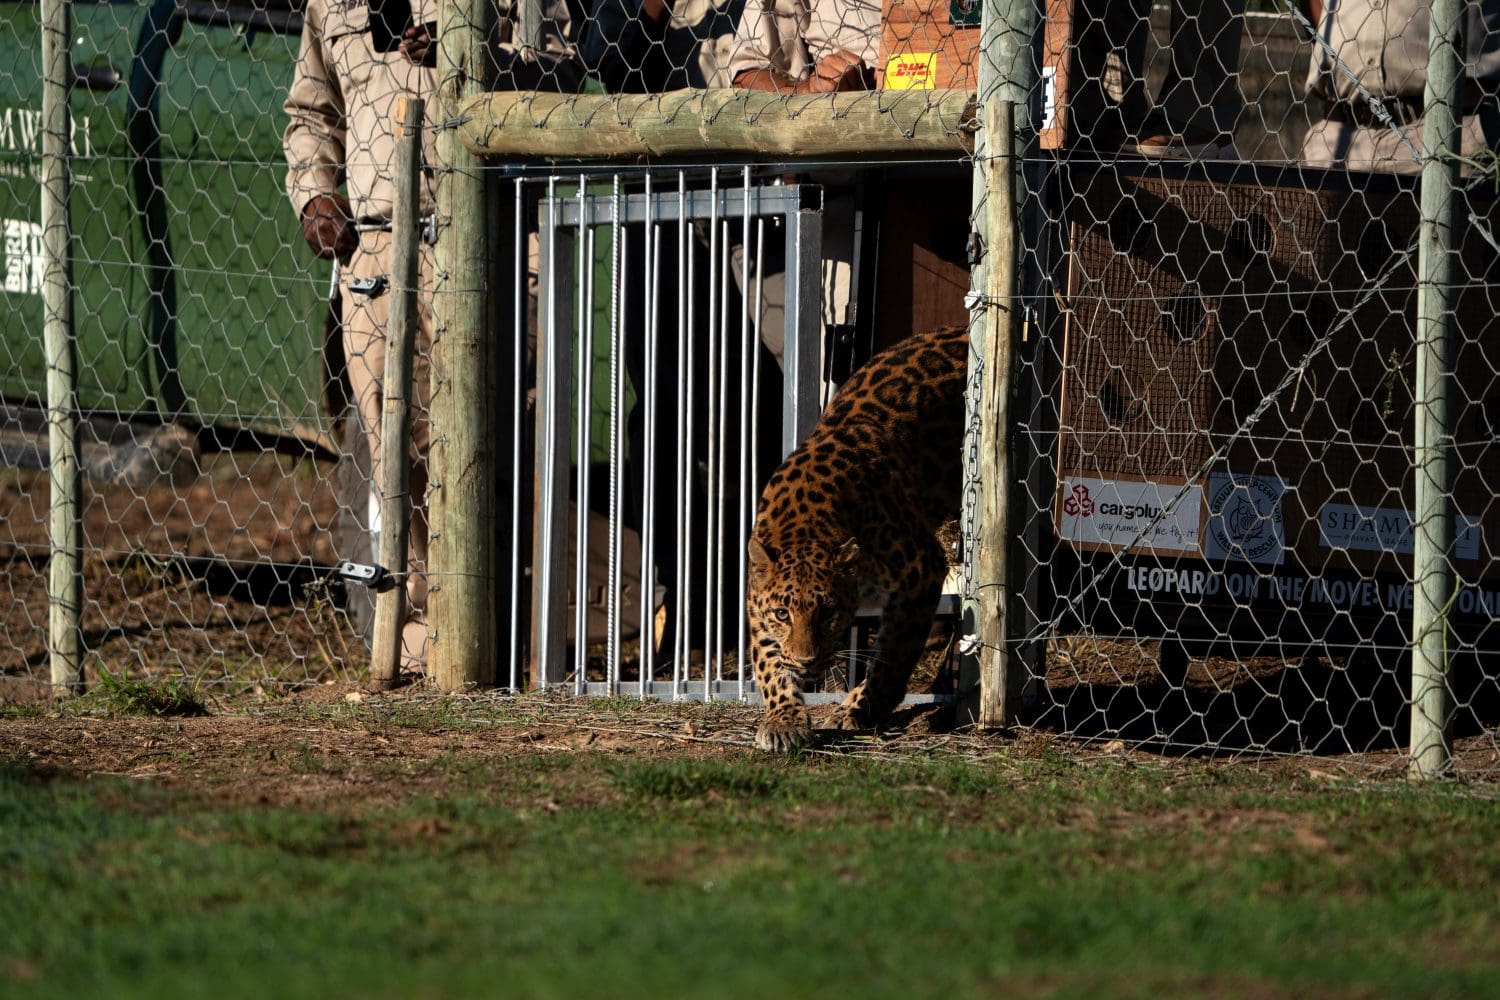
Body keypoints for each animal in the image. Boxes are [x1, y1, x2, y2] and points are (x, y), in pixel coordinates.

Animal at [750, 326, 972, 749]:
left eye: (828, 612)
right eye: (783, 614)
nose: (806, 661)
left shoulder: (921, 571)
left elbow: (893, 652)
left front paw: (860, 707)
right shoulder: (757, 603)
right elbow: (769, 665)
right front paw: (784, 719)